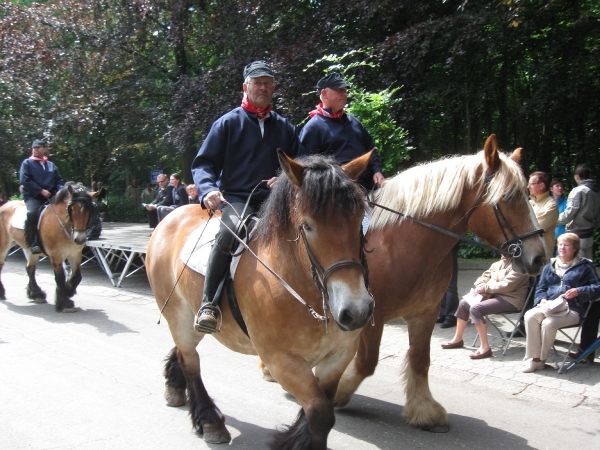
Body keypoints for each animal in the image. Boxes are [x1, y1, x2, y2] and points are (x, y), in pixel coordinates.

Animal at [146, 152, 376, 450]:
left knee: (184, 351)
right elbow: (320, 413)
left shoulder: (338, 357)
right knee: (191, 361)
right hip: (178, 315)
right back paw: (209, 421)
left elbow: (318, 410)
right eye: (307, 226)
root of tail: (170, 218)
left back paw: (175, 387)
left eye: (359, 220)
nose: (356, 311)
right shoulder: (281, 361)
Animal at [330, 134, 548, 432]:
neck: (398, 244)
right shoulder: (371, 317)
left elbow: (420, 360)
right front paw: (337, 391)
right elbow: (366, 362)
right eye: (509, 197)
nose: (539, 257)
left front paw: (424, 410)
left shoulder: (425, 313)